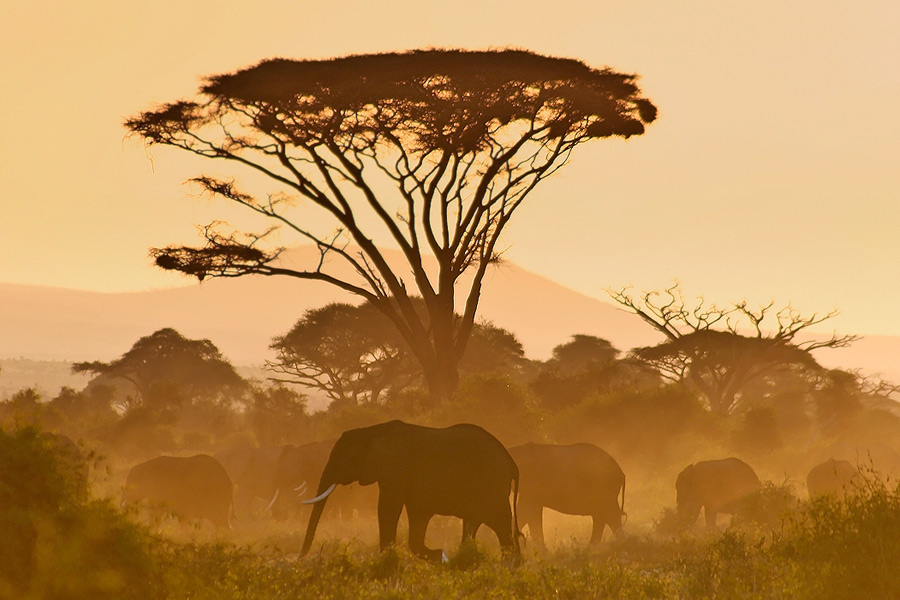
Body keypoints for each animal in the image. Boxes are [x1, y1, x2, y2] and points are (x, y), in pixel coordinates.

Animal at [300, 422, 520, 564]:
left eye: (340, 458)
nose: (301, 558)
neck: (371, 431)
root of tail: (511, 462)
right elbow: (417, 515)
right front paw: (439, 556)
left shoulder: (394, 469)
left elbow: (388, 509)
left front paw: (387, 560)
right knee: (474, 523)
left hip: (491, 485)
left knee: (499, 523)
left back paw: (509, 565)